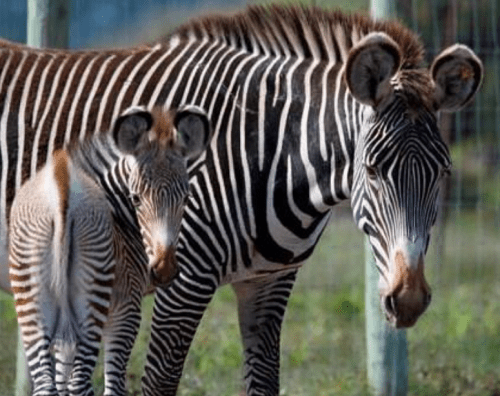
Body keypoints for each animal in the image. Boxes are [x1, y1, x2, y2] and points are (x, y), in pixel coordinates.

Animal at [8, 106, 211, 396]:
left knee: (47, 385)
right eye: (135, 198)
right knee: (81, 383)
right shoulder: (125, 309)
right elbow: (112, 386)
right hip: (96, 301)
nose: (165, 269)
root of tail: (61, 187)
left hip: (29, 298)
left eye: (186, 197)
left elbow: (60, 381)